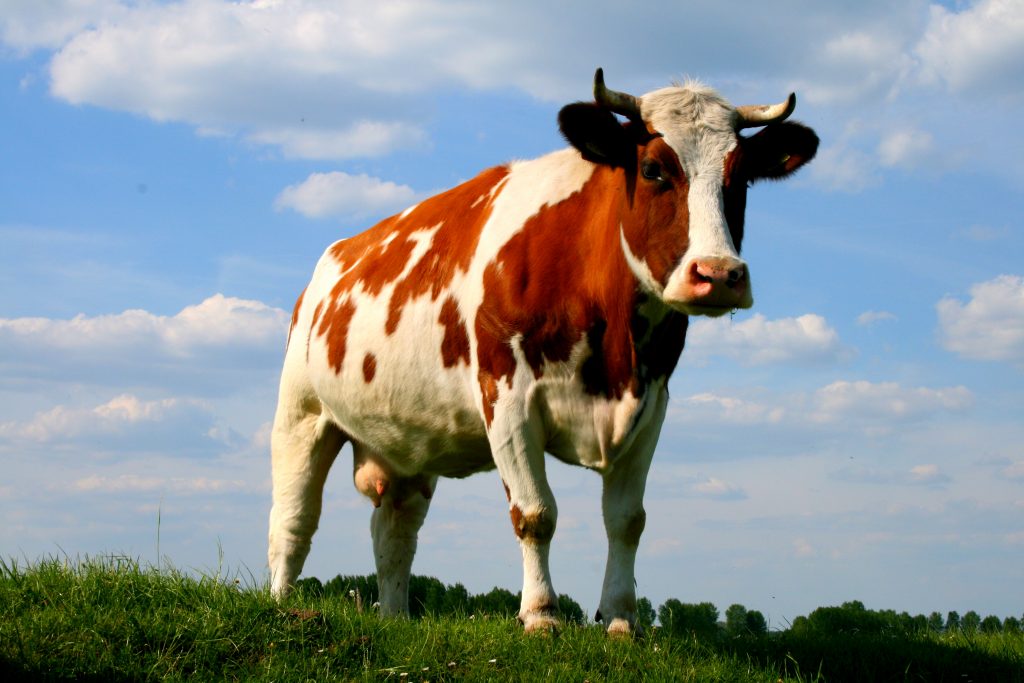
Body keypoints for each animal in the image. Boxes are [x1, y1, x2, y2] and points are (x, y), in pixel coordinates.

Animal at [269, 68, 818, 634]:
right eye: (652, 169)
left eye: (742, 178)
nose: (719, 274)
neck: (615, 360)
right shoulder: (507, 396)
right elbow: (535, 515)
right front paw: (541, 614)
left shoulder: (652, 405)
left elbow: (627, 521)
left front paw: (621, 620)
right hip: (301, 412)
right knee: (293, 519)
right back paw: (283, 605)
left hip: (408, 441)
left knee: (395, 532)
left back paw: (396, 617)